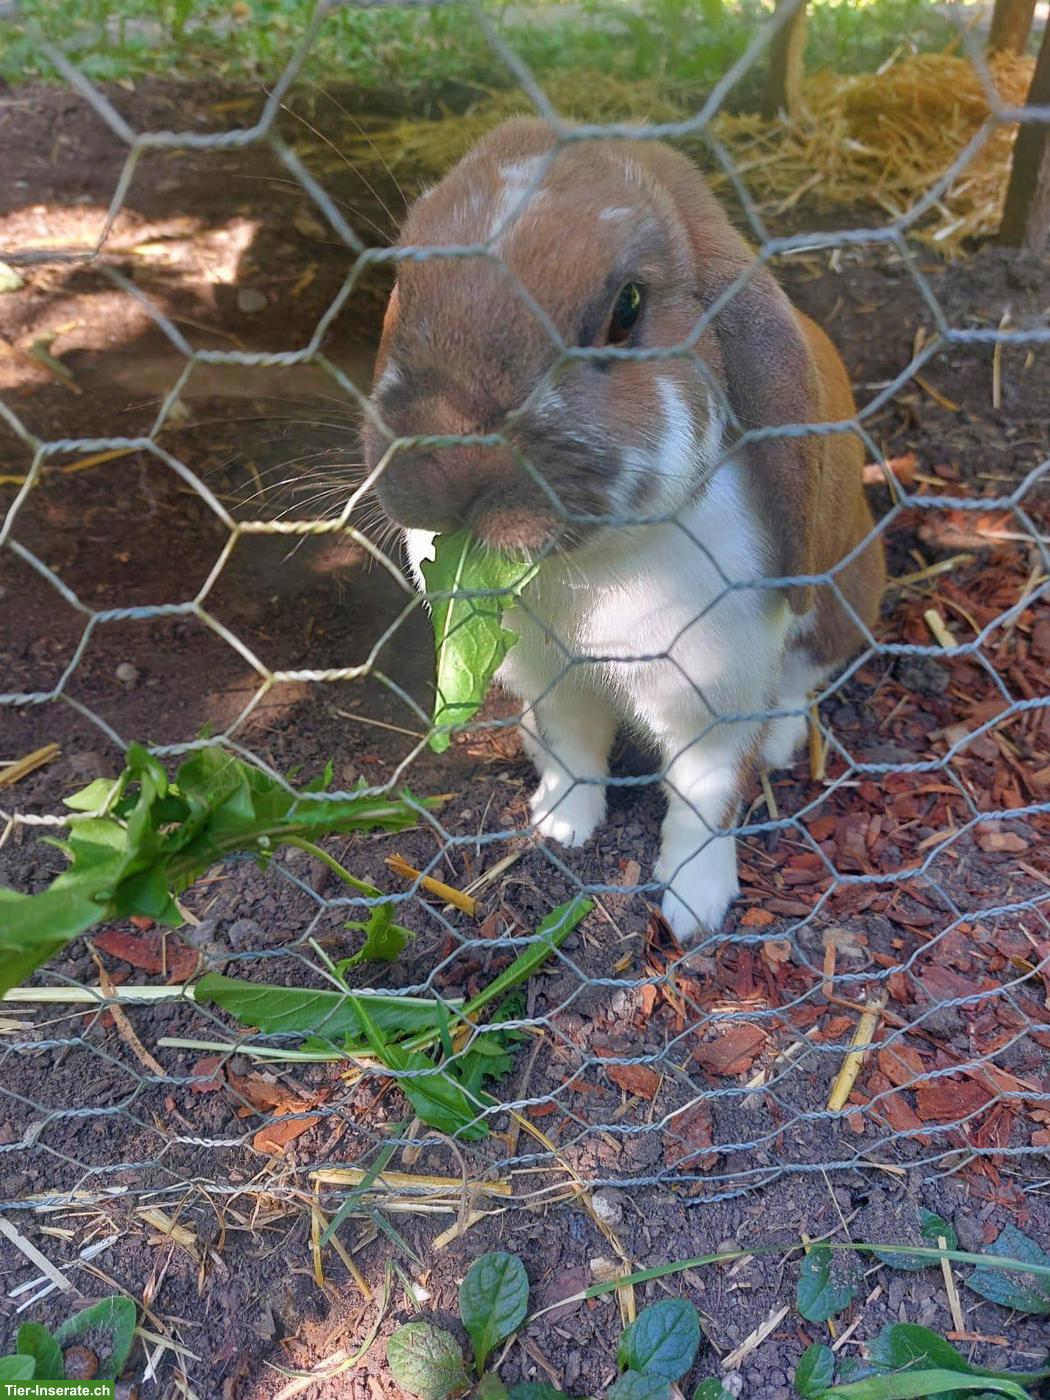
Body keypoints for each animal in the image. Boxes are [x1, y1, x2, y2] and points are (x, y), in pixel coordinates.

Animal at [361, 117, 885, 943]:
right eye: (403, 284)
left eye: (627, 309)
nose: (444, 471)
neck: (595, 566)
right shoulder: (556, 682)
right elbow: (576, 754)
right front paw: (561, 826)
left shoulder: (713, 695)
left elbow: (704, 800)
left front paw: (694, 906)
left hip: (846, 596)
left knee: (803, 678)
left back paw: (779, 742)